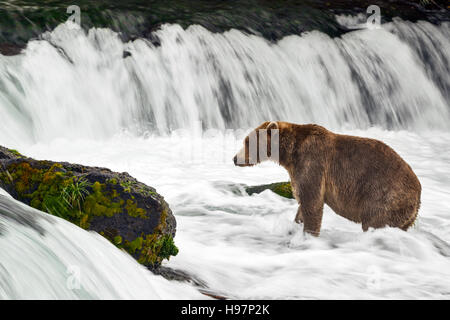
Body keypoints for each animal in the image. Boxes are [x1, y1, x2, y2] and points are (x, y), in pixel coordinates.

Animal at [234, 120, 420, 235]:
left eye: (247, 142)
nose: (235, 158)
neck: (291, 153)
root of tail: (418, 191)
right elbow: (302, 202)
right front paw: (294, 226)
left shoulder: (312, 163)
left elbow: (312, 203)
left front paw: (307, 235)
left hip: (384, 195)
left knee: (374, 221)